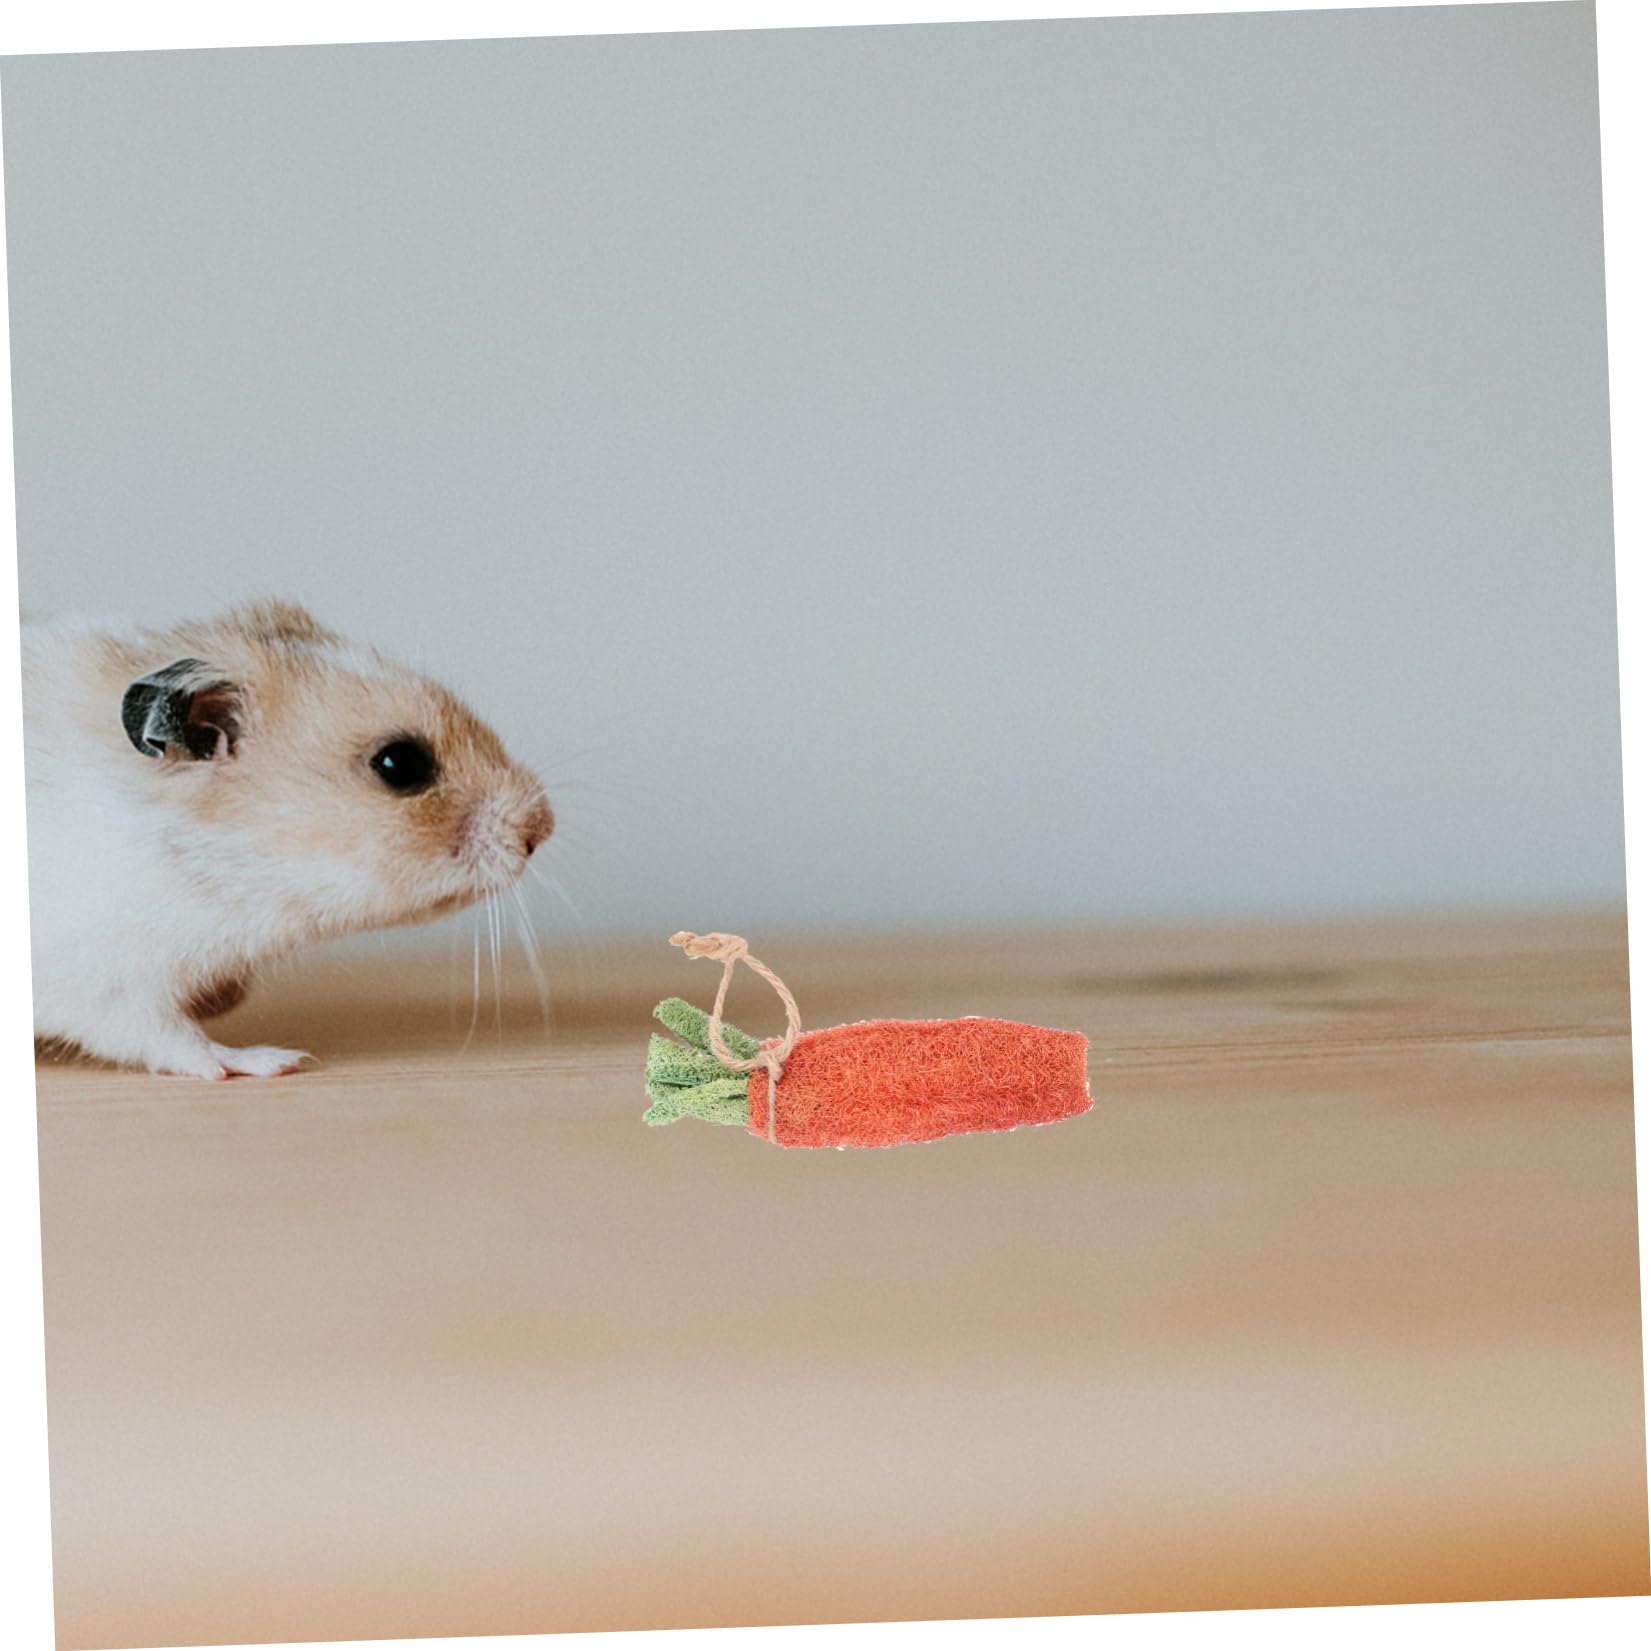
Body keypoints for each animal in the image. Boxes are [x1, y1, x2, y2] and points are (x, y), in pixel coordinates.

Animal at [22, 599, 554, 1079]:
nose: (542, 826)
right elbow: (174, 1041)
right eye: (399, 763)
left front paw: (224, 999)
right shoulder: (111, 982)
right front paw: (274, 1062)